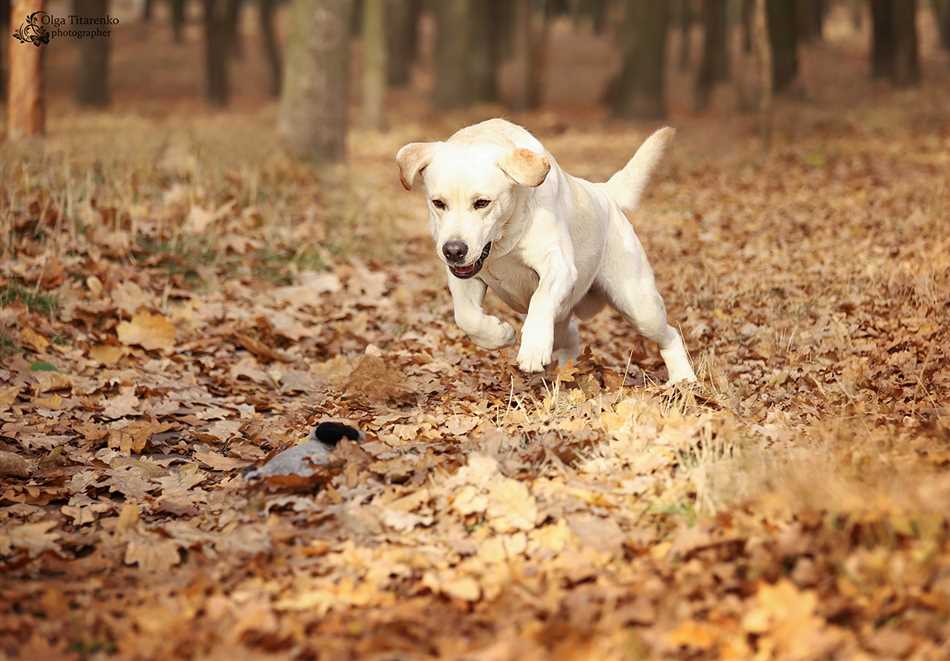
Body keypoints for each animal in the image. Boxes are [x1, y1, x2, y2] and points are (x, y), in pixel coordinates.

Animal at [398, 118, 696, 382]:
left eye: (482, 203)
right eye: (438, 203)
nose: (453, 250)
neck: (503, 242)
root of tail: (604, 192)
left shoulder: (558, 264)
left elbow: (540, 300)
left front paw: (532, 348)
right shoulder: (464, 276)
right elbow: (466, 316)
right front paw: (500, 334)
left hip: (639, 305)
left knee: (670, 334)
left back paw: (683, 378)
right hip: (568, 315)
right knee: (571, 336)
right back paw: (566, 370)